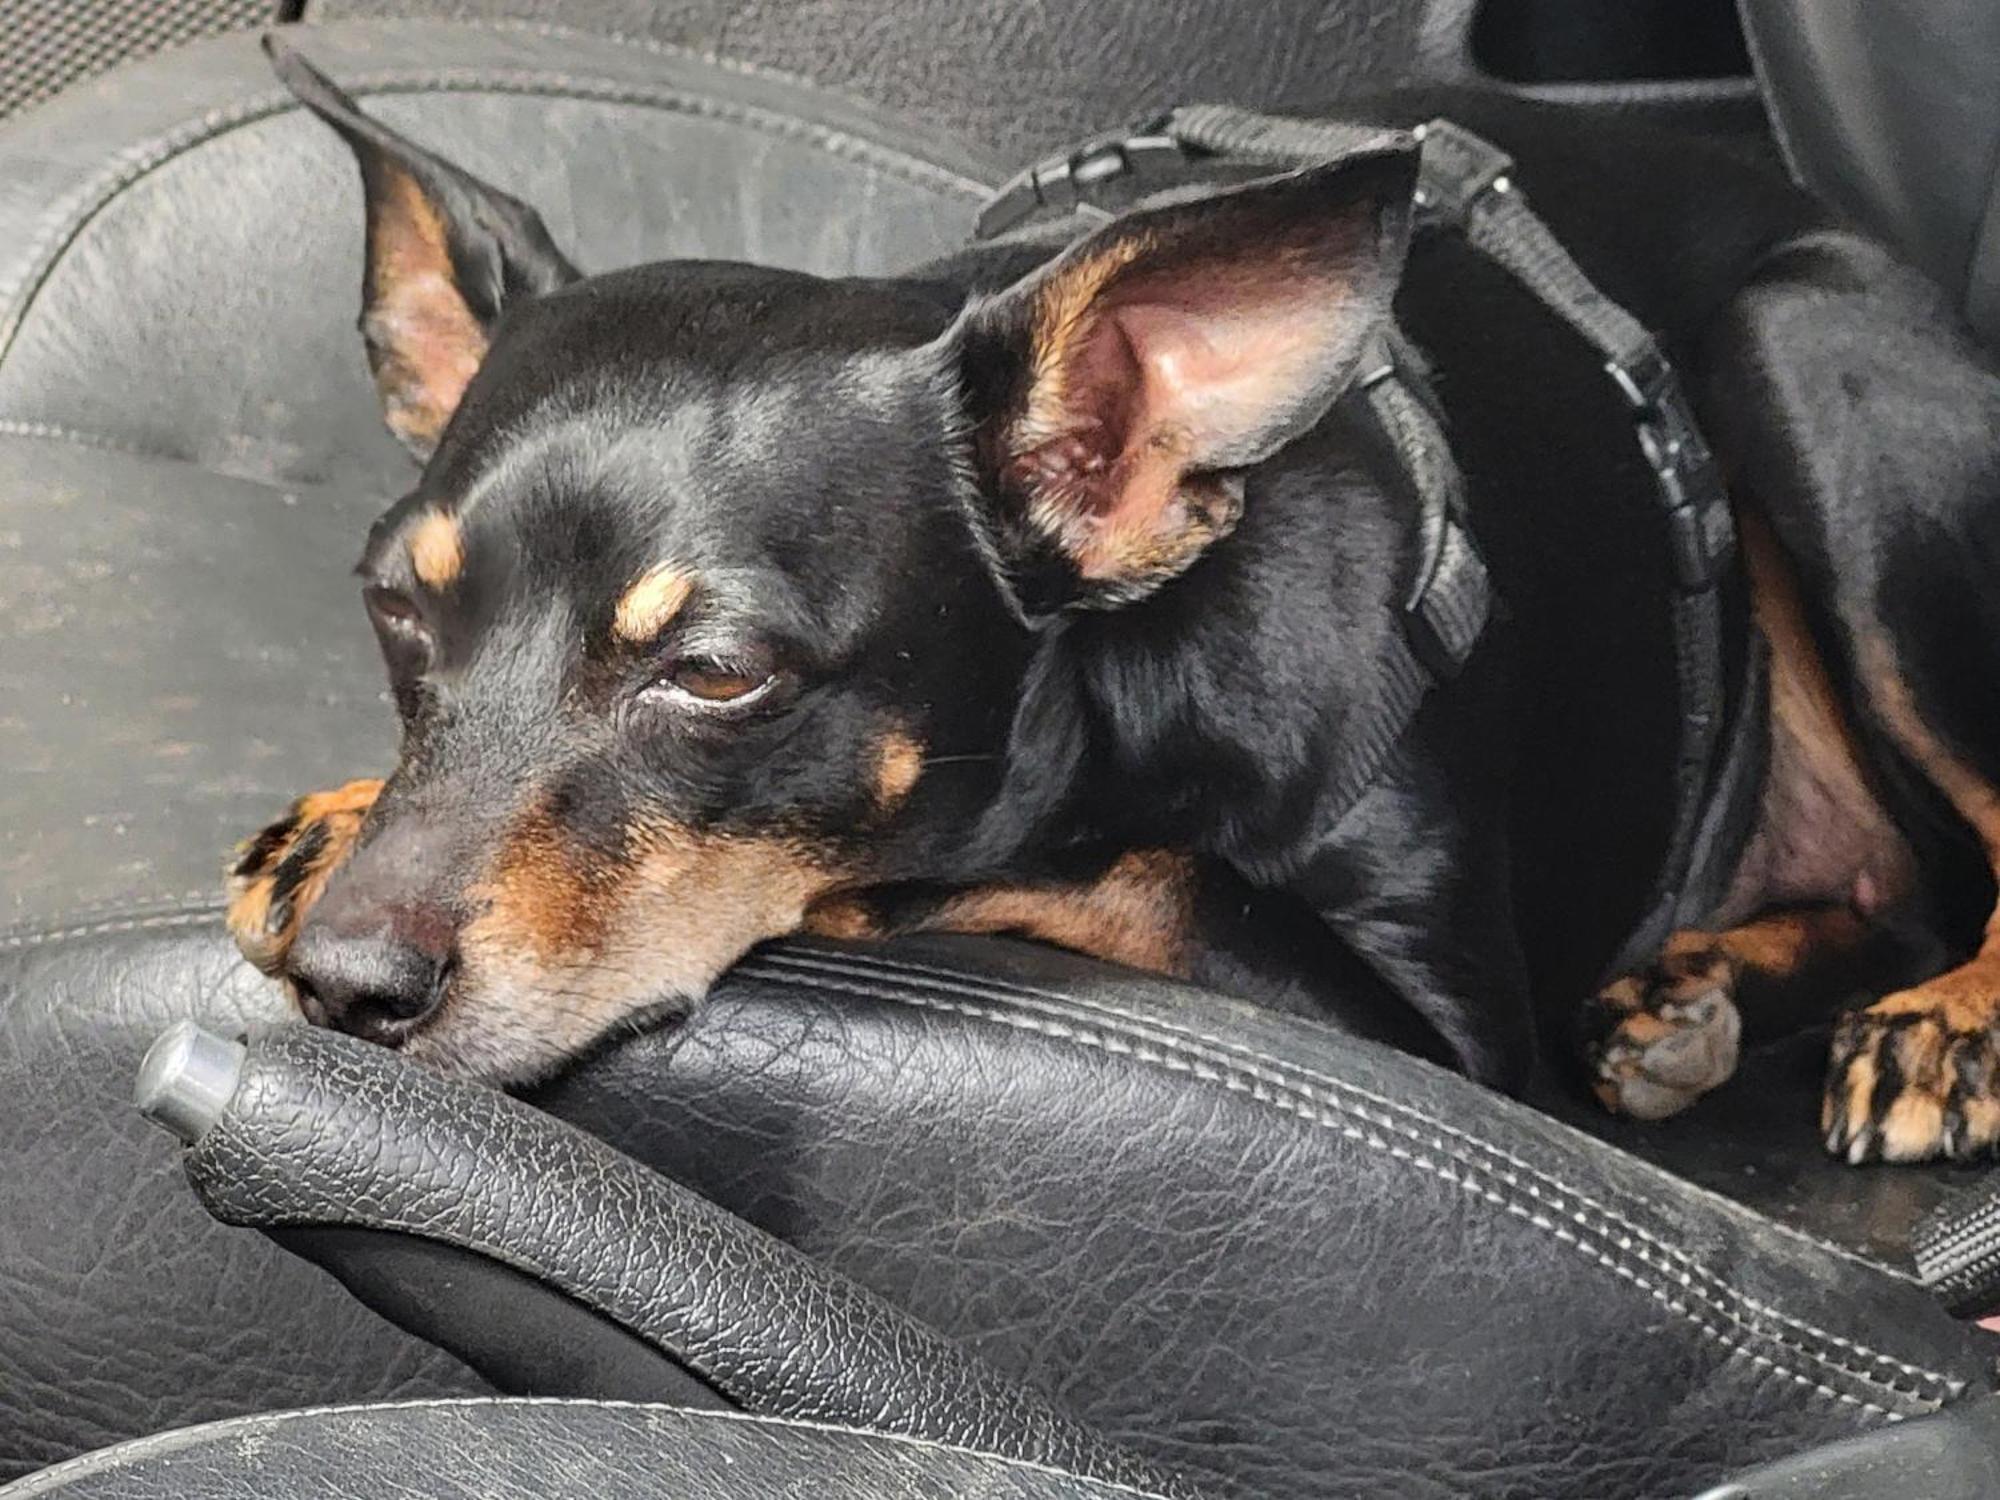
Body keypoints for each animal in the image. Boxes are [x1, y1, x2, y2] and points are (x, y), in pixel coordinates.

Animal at [227, 44, 2000, 1160]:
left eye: (718, 676)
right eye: (394, 609)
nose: (350, 983)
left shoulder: (1458, 1055)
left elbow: (1128, 870)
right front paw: (339, 813)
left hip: (1806, 352)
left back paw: (1951, 1029)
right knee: (1898, 885)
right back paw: (1693, 997)